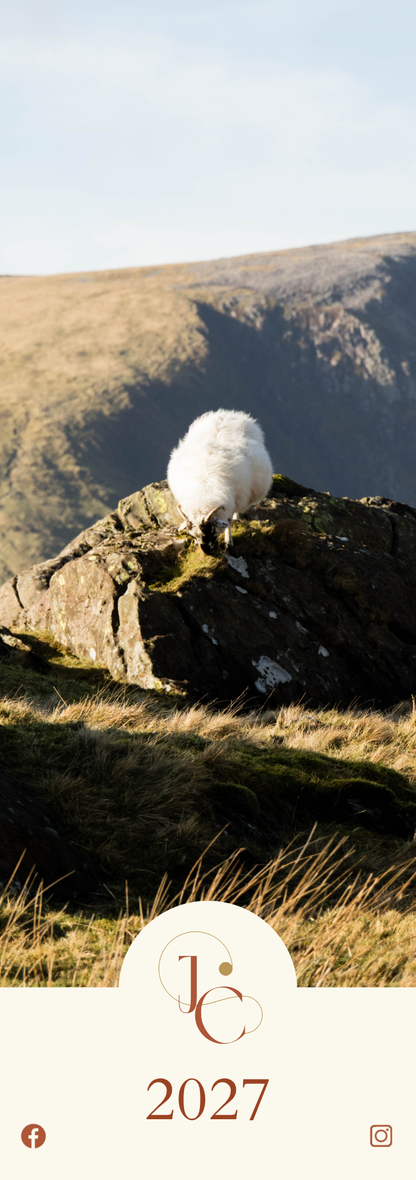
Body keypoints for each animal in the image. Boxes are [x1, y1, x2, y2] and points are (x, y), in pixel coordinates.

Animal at [167, 409, 273, 554]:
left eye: (211, 531)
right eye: (192, 535)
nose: (207, 552)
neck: (204, 493)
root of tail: (227, 413)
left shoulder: (231, 502)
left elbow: (228, 522)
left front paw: (229, 543)